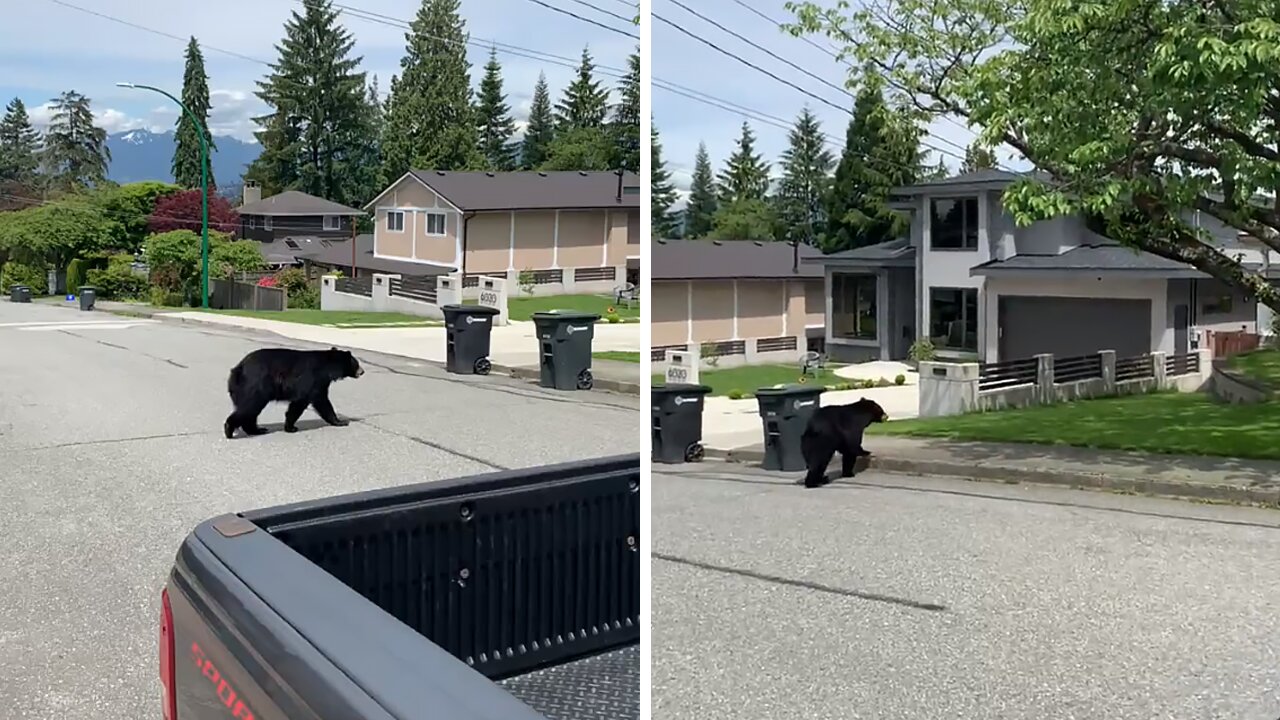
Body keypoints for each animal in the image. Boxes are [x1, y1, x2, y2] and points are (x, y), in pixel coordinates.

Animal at [224, 343, 366, 438]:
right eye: (356, 363)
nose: (362, 371)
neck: (327, 367)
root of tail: (239, 368)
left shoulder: (320, 382)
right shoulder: (312, 379)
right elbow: (311, 401)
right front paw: (341, 422)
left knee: (251, 411)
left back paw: (257, 430)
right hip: (255, 385)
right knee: (249, 407)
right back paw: (229, 429)